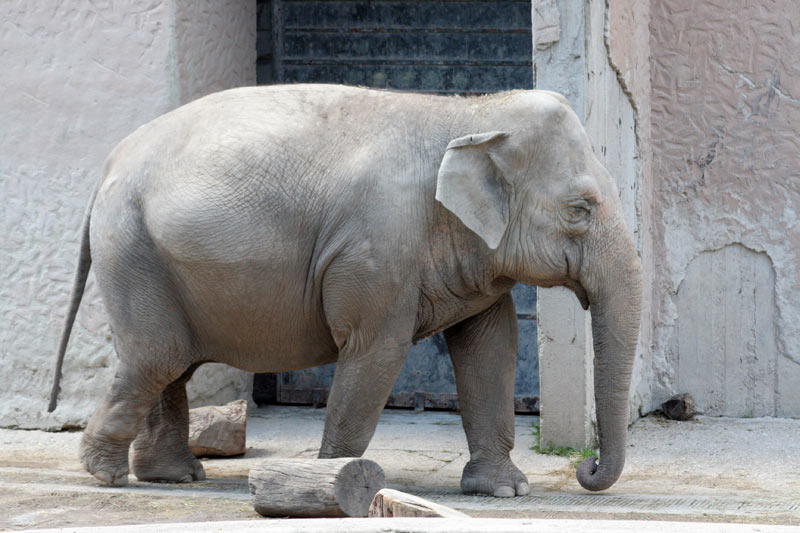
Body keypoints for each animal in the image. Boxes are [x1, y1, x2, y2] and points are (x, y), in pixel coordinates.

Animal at [48, 84, 642, 496]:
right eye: (580, 209)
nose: (586, 468)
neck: (468, 114)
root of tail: (111, 163)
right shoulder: (376, 249)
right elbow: (375, 350)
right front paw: (334, 484)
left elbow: (490, 349)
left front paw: (505, 490)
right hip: (133, 251)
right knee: (157, 357)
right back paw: (105, 474)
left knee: (171, 365)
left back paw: (174, 477)